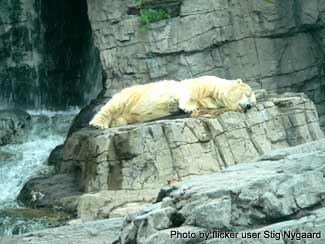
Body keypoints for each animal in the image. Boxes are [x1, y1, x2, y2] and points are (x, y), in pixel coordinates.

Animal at [88, 76, 256, 129]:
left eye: (253, 103)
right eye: (248, 94)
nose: (248, 106)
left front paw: (174, 106)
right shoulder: (205, 82)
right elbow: (192, 90)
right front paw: (187, 107)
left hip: (127, 114)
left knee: (121, 118)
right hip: (132, 95)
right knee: (113, 106)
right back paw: (98, 124)